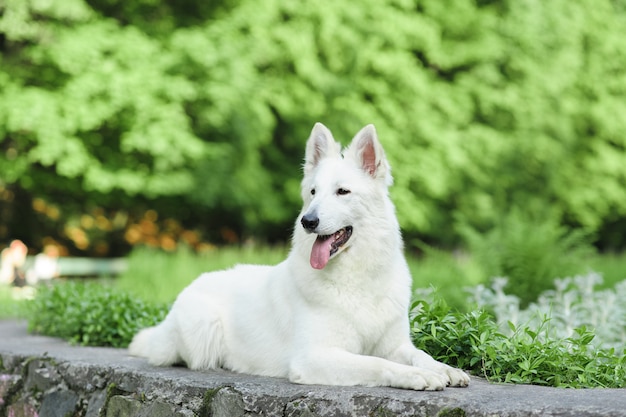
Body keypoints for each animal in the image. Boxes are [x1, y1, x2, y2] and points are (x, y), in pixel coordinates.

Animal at [128, 122, 468, 388]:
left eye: (342, 192)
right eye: (313, 193)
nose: (308, 221)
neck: (356, 276)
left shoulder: (395, 344)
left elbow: (419, 354)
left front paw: (445, 369)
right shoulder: (315, 356)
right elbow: (376, 363)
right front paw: (417, 376)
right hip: (203, 328)